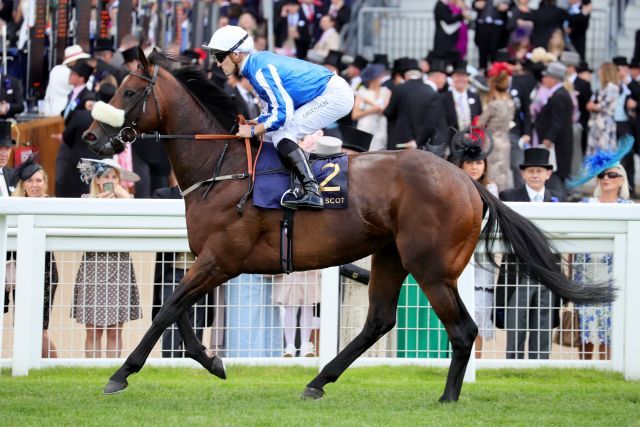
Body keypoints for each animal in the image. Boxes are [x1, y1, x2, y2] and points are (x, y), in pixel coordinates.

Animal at [82, 49, 612, 402]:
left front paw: (120, 375)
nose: (89, 136)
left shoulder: (221, 259)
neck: (223, 167)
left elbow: (168, 310)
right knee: (378, 321)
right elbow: (178, 312)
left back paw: (446, 398)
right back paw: (318, 382)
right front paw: (213, 362)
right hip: (391, 255)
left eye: (129, 91)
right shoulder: (211, 261)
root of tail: (468, 181)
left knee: (462, 330)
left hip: (431, 267)